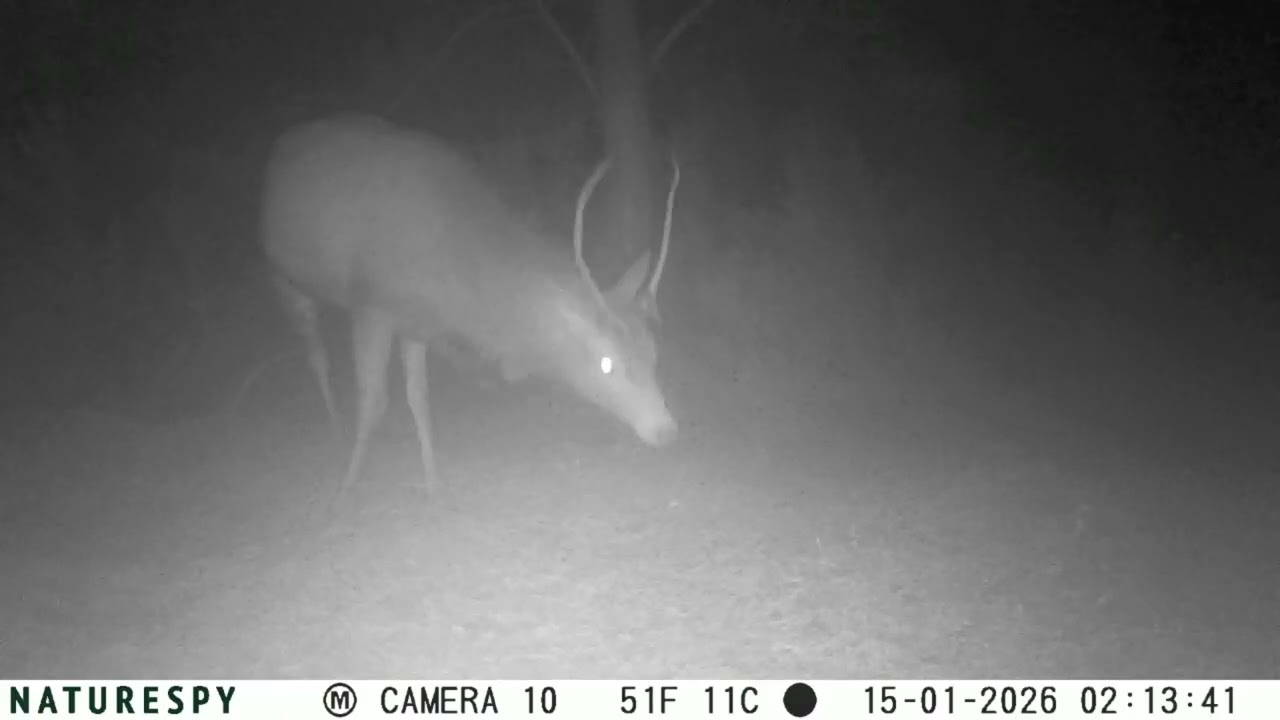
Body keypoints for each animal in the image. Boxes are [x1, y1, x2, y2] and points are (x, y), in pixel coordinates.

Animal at [260, 113, 679, 496]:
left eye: (653, 353)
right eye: (607, 364)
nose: (665, 430)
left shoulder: (418, 324)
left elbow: (419, 399)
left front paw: (434, 482)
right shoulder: (371, 306)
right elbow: (373, 400)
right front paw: (348, 484)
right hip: (284, 277)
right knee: (315, 354)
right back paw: (335, 428)